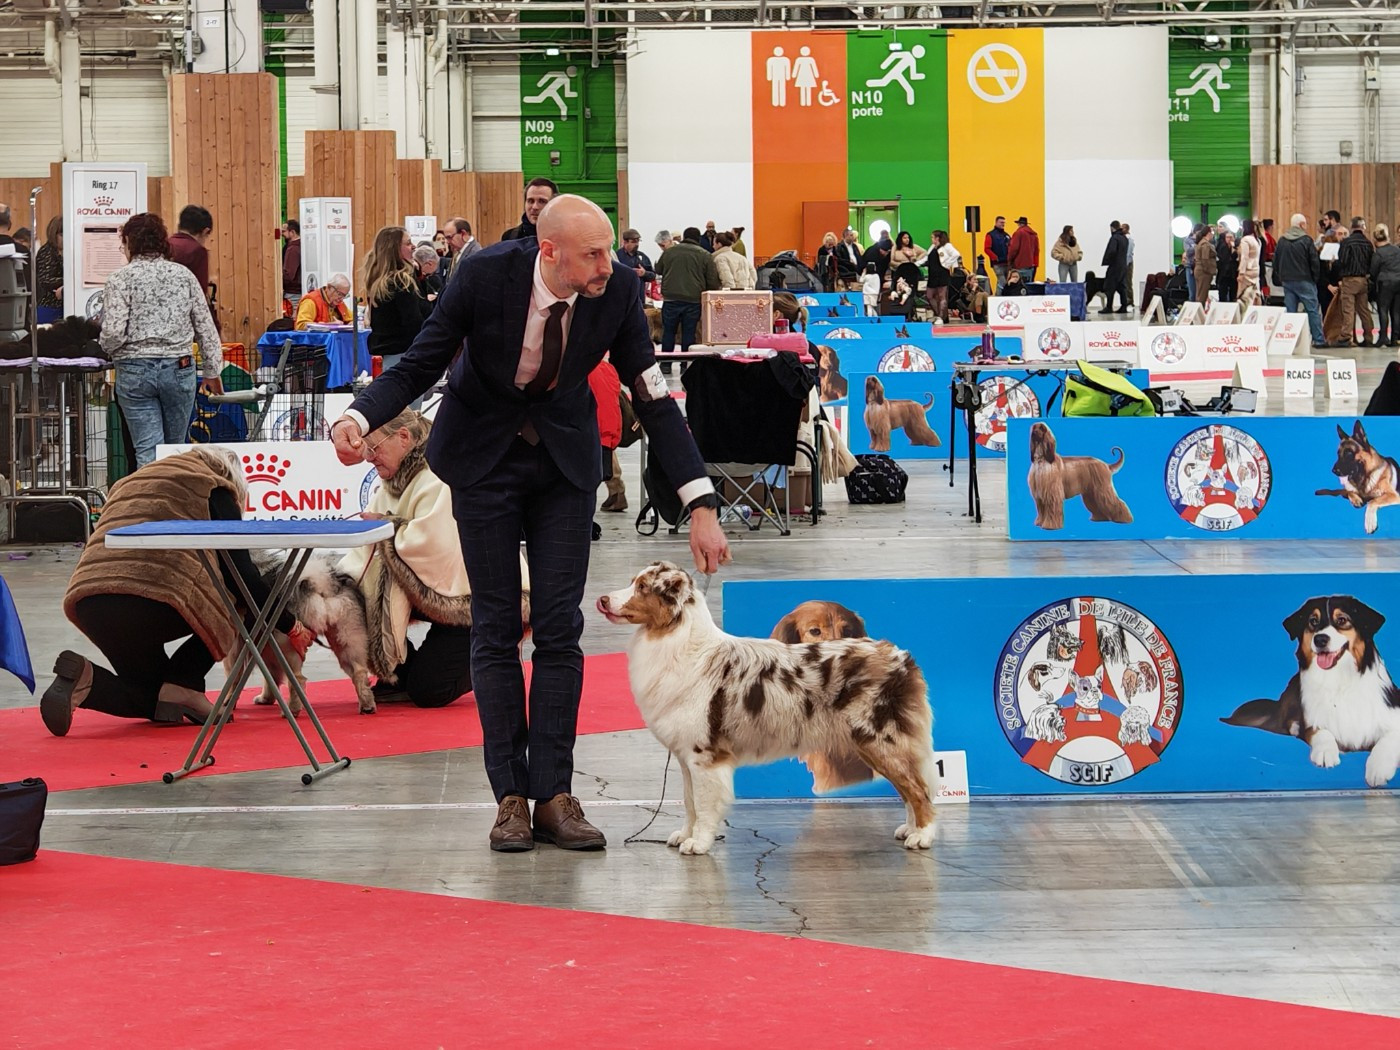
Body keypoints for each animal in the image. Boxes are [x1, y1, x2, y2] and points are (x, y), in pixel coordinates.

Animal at [1222, 596, 1400, 787]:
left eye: (1342, 620)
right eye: (1313, 621)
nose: (1320, 639)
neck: (1338, 681)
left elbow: (1387, 740)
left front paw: (1378, 769)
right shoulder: (1311, 721)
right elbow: (1320, 731)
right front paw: (1326, 752)